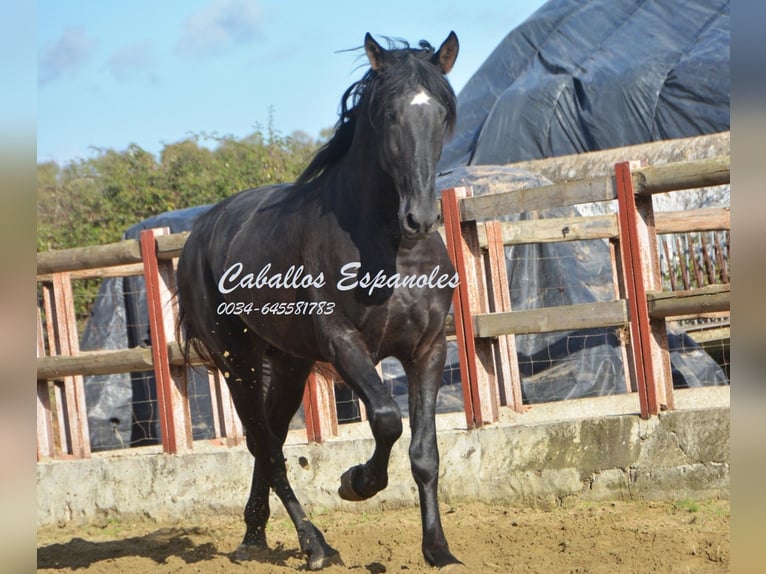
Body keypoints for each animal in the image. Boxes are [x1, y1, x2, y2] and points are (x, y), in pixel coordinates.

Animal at [176, 31, 462, 572]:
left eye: (441, 113)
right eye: (388, 114)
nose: (419, 217)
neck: (393, 251)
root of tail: (203, 229)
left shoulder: (428, 349)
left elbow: (425, 453)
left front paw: (439, 550)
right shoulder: (344, 346)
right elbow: (387, 420)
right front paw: (356, 483)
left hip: (290, 361)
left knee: (270, 439)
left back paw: (254, 537)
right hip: (238, 361)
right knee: (265, 446)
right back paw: (314, 544)